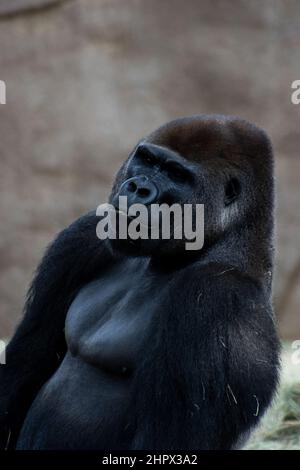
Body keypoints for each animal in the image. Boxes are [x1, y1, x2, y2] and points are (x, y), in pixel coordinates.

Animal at [0, 114, 282, 452]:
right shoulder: (83, 239)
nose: (137, 188)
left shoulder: (218, 301)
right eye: (147, 160)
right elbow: (24, 364)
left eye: (176, 175)